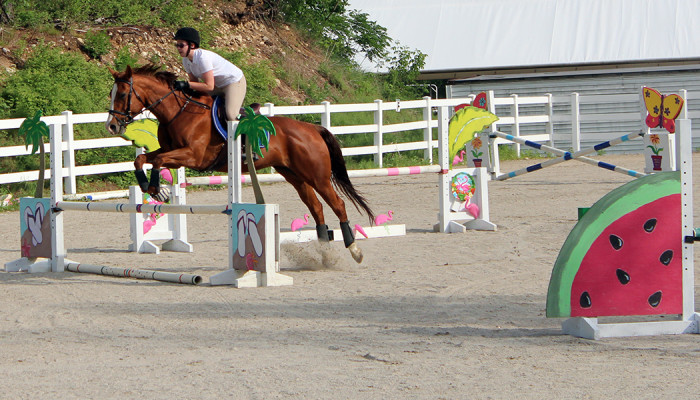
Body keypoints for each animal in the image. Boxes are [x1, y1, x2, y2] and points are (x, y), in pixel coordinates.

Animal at [104, 65, 374, 262]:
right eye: (111, 94)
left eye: (124, 95)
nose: (112, 126)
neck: (179, 112)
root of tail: (313, 128)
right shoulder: (172, 151)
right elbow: (141, 159)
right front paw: (150, 187)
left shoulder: (193, 156)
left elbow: (158, 160)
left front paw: (157, 189)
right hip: (294, 175)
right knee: (316, 207)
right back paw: (325, 252)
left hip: (317, 176)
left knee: (337, 204)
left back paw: (354, 250)